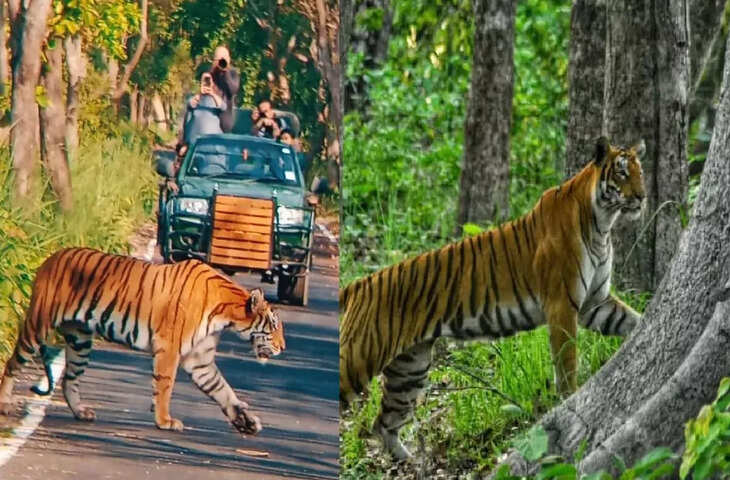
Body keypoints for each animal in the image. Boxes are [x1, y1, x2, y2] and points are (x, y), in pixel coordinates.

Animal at [0, 247, 285, 436]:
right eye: (273, 326)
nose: (282, 347)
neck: (225, 315)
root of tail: (51, 257)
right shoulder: (170, 350)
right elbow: (165, 387)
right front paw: (165, 421)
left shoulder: (200, 360)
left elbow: (223, 390)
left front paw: (246, 421)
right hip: (38, 326)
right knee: (13, 363)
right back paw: (5, 403)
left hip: (80, 340)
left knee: (70, 380)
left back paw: (82, 412)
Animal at [339, 137, 646, 460]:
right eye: (622, 173)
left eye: (641, 172)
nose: (642, 196)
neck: (603, 224)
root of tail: (360, 284)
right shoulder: (563, 305)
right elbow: (566, 365)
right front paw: (568, 399)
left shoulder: (594, 303)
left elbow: (631, 319)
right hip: (362, 356)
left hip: (409, 369)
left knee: (383, 423)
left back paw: (409, 460)